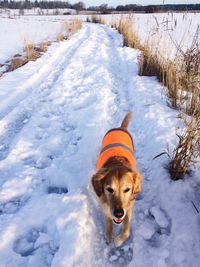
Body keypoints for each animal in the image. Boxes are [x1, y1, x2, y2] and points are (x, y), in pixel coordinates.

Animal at [91, 112, 143, 248]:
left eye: (127, 189)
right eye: (109, 189)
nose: (119, 213)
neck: (117, 163)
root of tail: (120, 128)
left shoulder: (129, 207)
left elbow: (127, 230)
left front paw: (119, 240)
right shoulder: (104, 204)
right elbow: (108, 219)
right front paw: (109, 234)